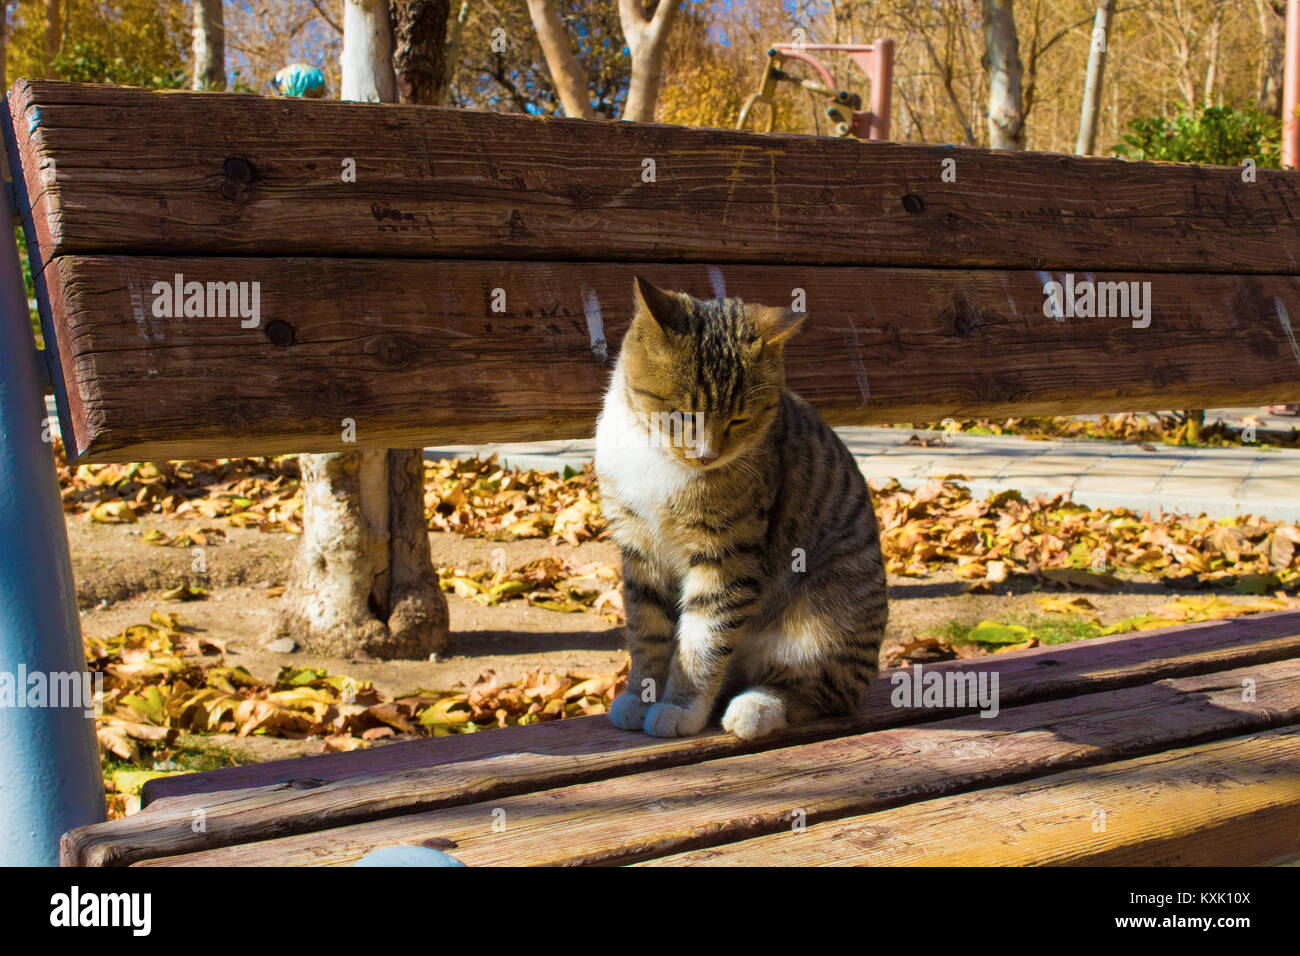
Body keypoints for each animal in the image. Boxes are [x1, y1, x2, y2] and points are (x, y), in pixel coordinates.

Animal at [595, 277, 889, 738]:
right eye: (682, 414)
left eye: (739, 420)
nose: (707, 455)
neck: (658, 459)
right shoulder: (639, 554)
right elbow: (648, 632)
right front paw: (639, 696)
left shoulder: (727, 553)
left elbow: (702, 638)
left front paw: (678, 707)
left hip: (826, 615)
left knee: (824, 691)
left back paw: (757, 707)